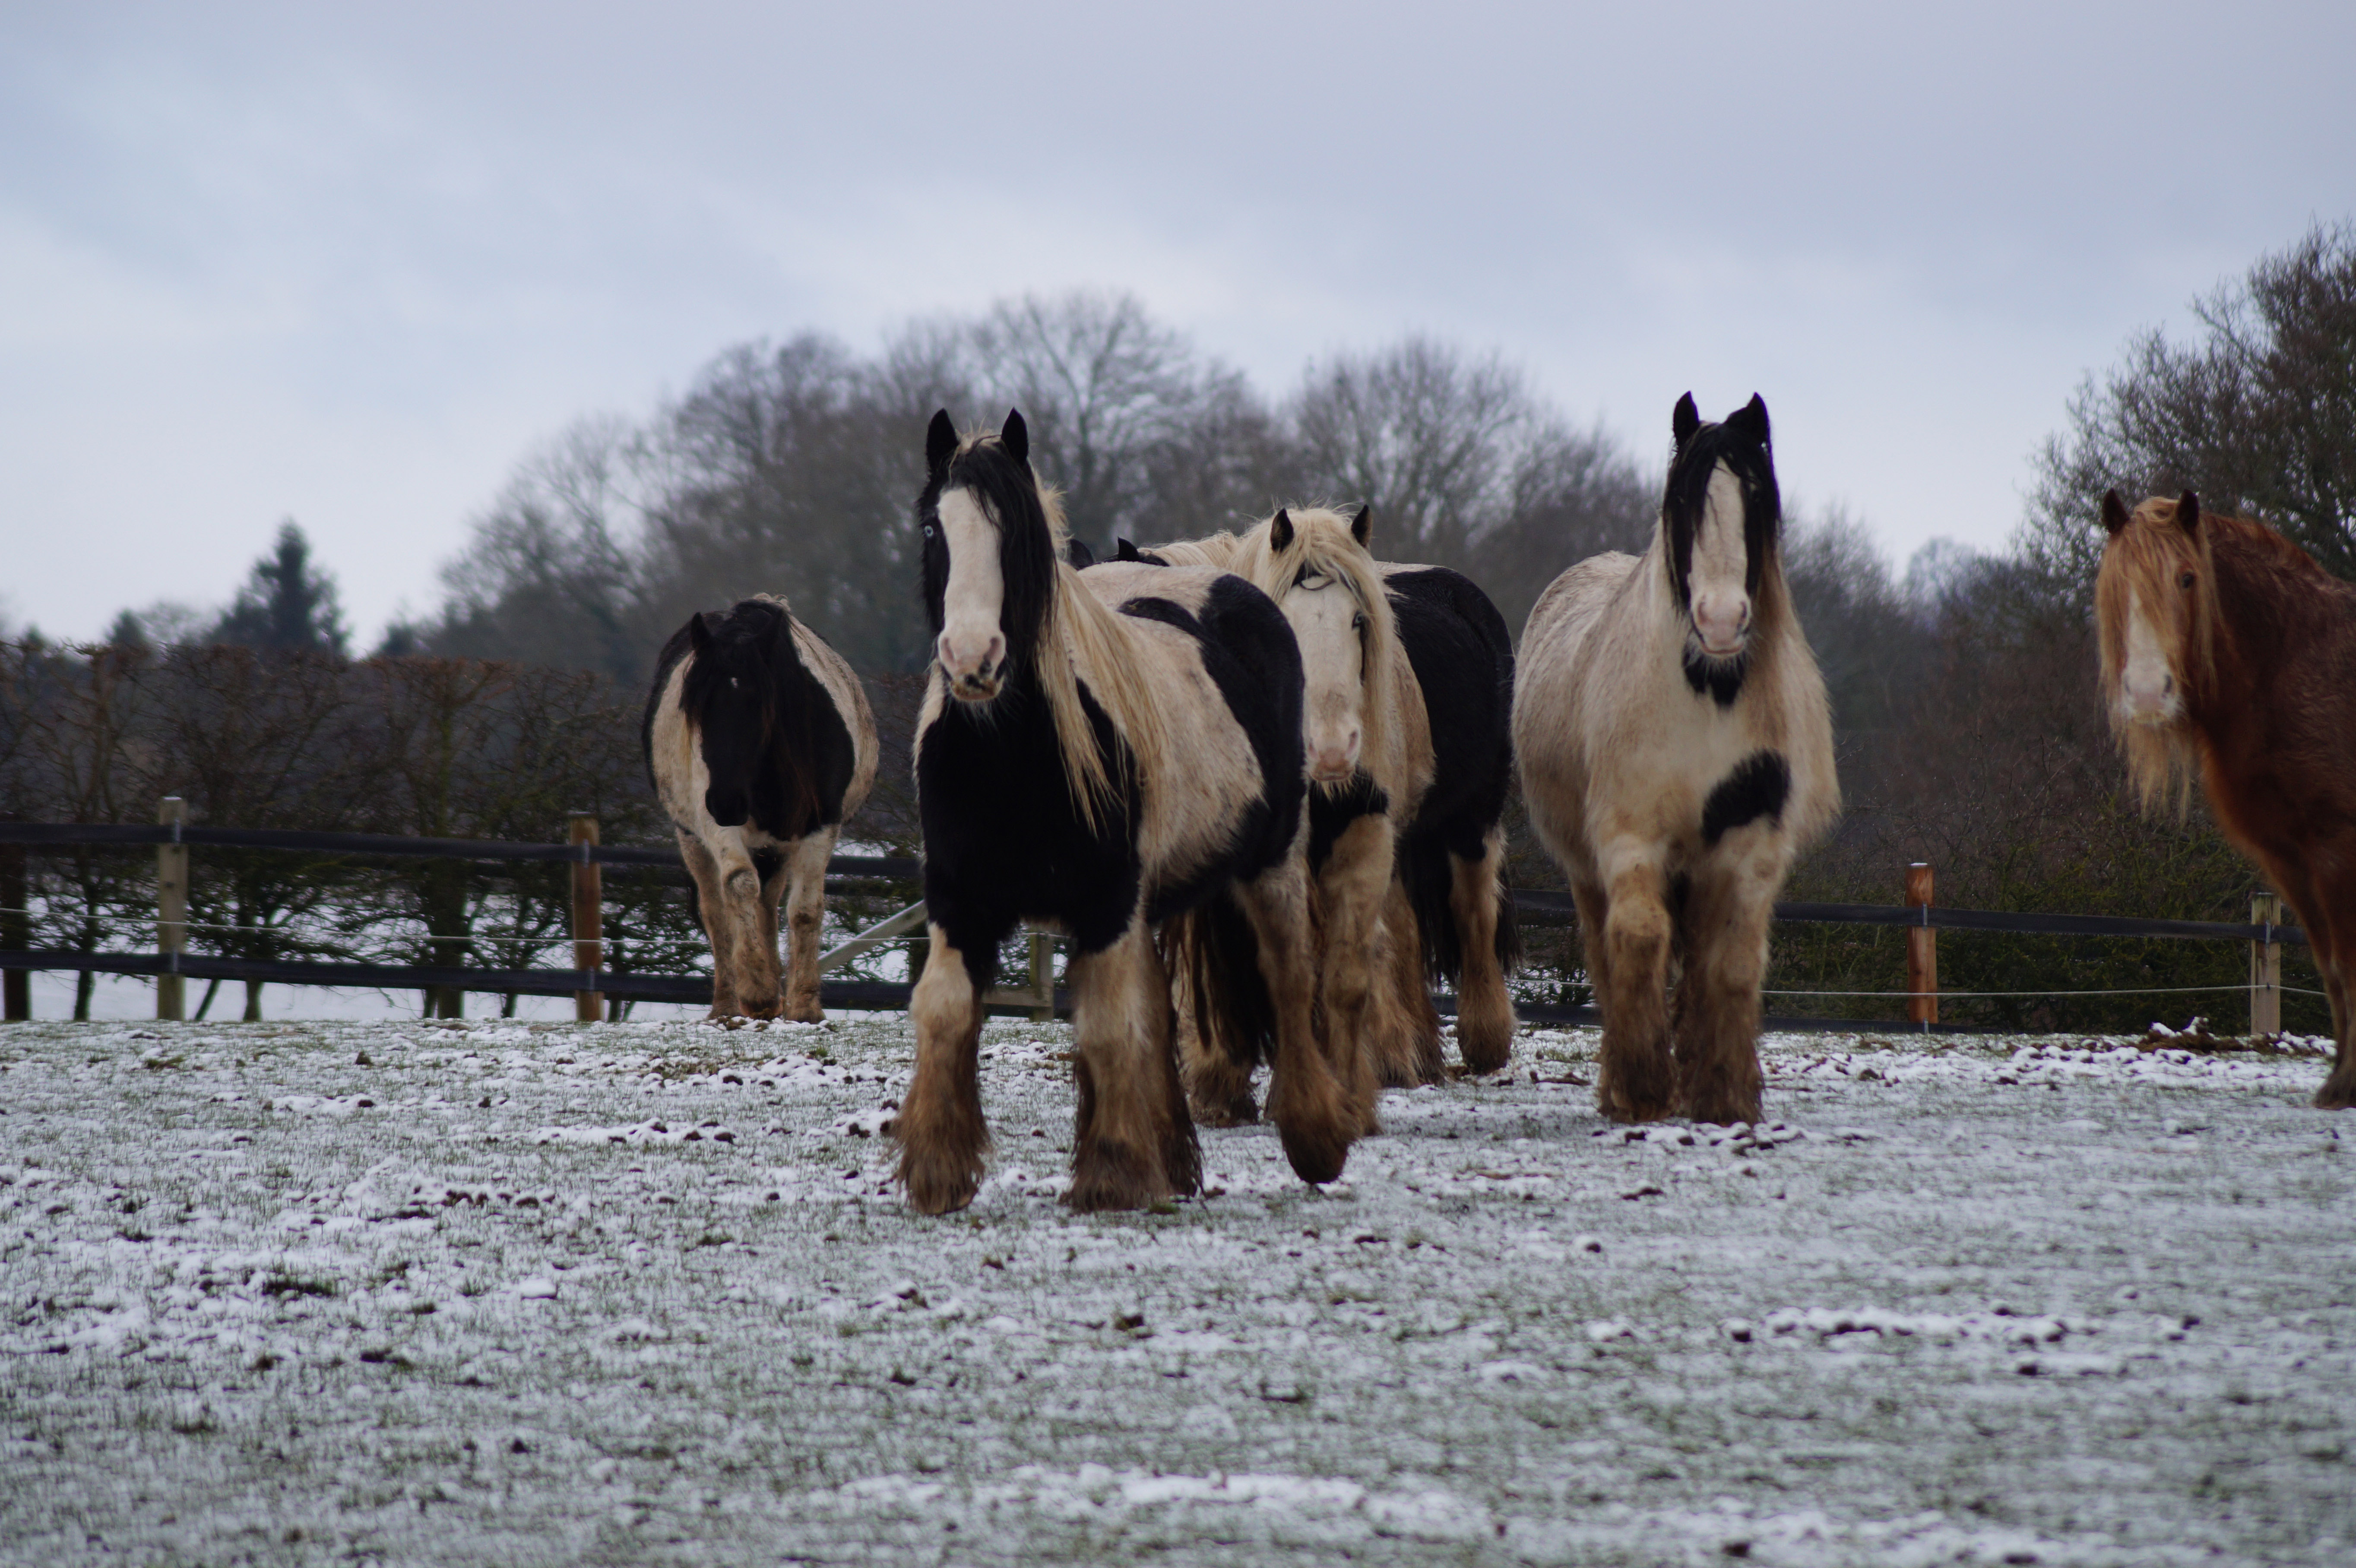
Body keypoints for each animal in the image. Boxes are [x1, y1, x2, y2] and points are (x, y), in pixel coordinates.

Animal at [641, 593, 881, 1021]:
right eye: (695, 706)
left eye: (759, 704)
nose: (725, 803)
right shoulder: (715, 826)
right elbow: (740, 887)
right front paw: (756, 991)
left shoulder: (821, 825)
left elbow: (804, 910)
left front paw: (804, 1006)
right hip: (692, 838)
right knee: (718, 912)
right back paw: (727, 1006)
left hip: (776, 848)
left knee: (768, 908)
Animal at [890, 405, 1357, 1205]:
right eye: (931, 528)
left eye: (1019, 531)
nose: (973, 658)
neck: (1014, 757)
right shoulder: (958, 900)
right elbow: (946, 1009)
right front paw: (938, 1171)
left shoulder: (1107, 904)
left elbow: (1110, 1029)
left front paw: (1111, 1173)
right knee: (1162, 1012)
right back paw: (1173, 1158)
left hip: (1271, 865)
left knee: (1290, 980)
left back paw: (1314, 1138)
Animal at [1507, 391, 1837, 1125]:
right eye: (1684, 498)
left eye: (1755, 494)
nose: (1720, 620)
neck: (1708, 693)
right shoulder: (1630, 837)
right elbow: (1638, 940)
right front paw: (1640, 1088)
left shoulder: (1749, 846)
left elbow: (1732, 962)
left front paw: (1725, 1094)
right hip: (1589, 869)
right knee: (1609, 954)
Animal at [2101, 490, 2356, 1097]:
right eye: (2117, 583)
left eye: (2187, 578)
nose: (2147, 693)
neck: (2292, 664)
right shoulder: (2289, 856)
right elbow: (2333, 967)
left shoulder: (2338, 843)